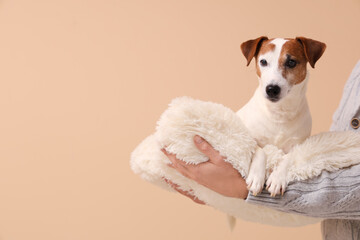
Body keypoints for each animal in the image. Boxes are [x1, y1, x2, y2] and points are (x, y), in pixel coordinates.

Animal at [236, 36, 326, 197]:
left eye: (291, 62)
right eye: (263, 61)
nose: (272, 89)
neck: (279, 112)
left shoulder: (298, 145)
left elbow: (287, 158)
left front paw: (277, 178)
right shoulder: (249, 137)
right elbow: (260, 150)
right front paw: (256, 177)